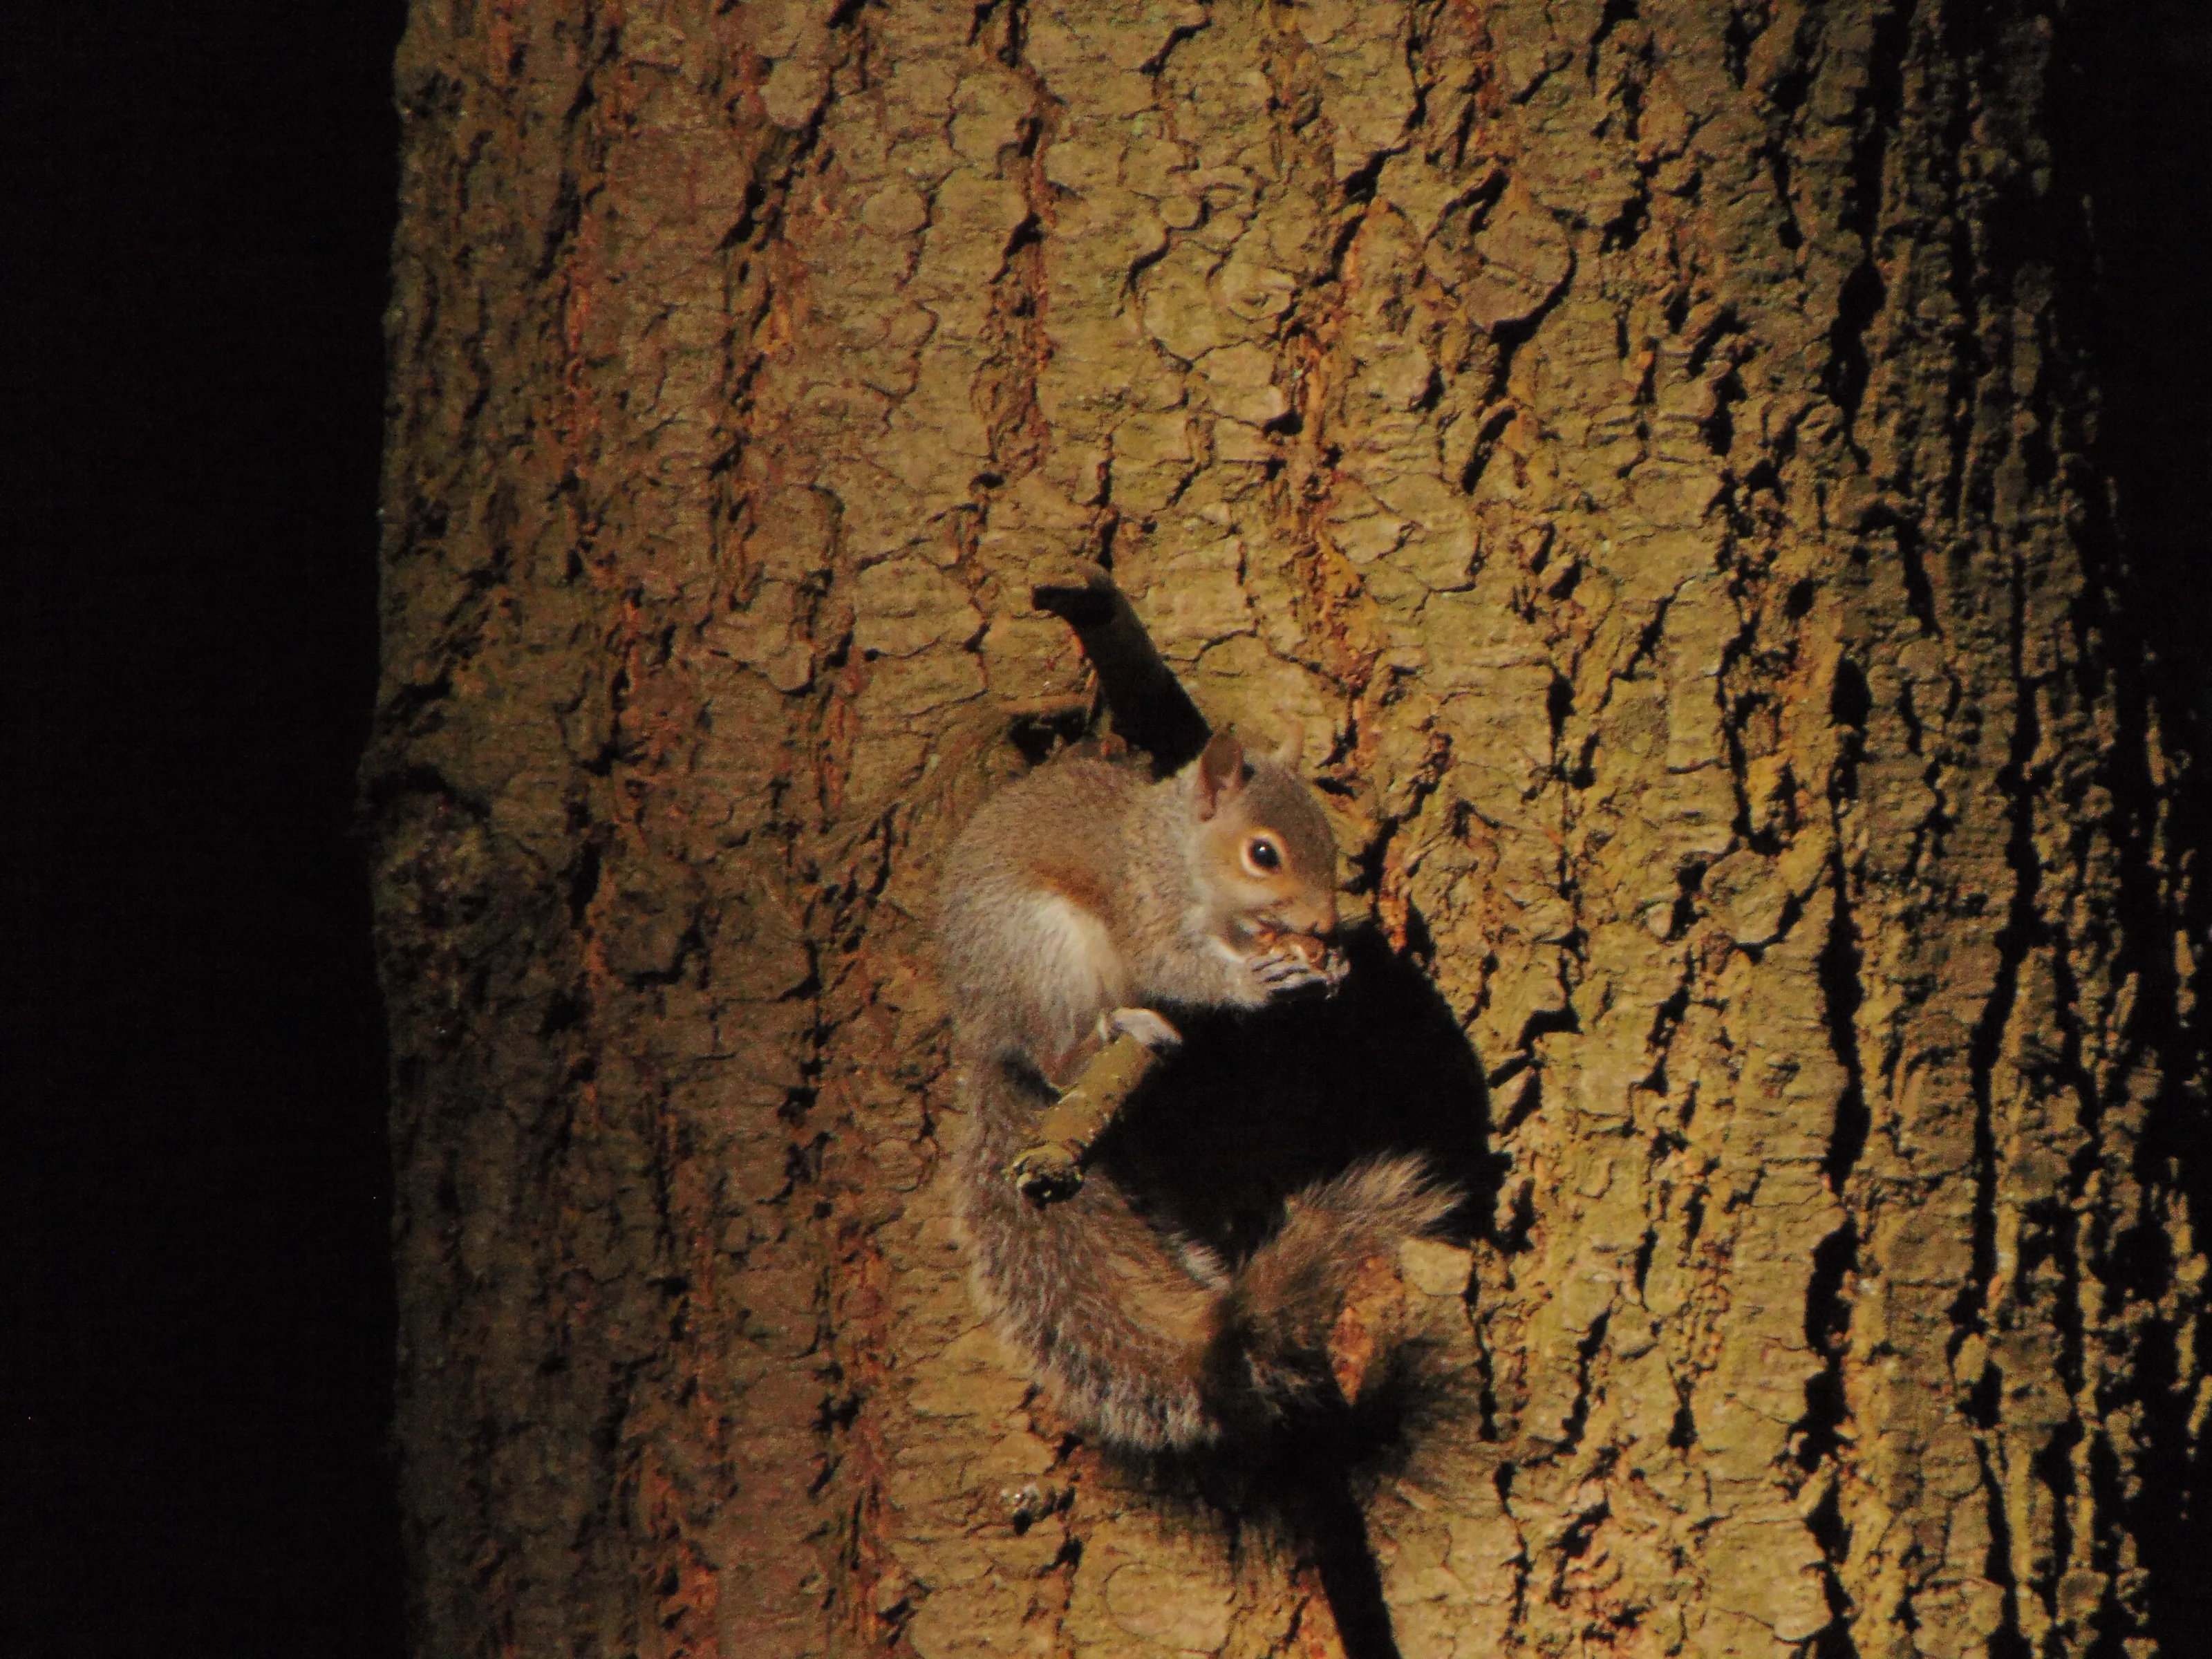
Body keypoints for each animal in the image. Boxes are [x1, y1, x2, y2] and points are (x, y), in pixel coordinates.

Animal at [939, 727, 1457, 1451]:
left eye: (1327, 837)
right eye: (1263, 854)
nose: (1323, 925)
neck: (1180, 854)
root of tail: (987, 1037)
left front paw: (1332, 964)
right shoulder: (1144, 906)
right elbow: (1171, 965)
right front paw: (1252, 980)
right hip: (1042, 952)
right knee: (1056, 1060)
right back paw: (1117, 1030)